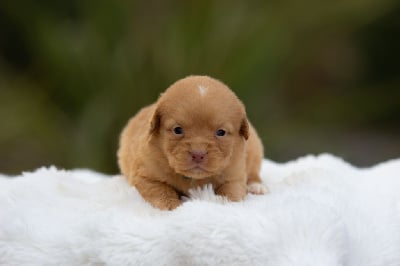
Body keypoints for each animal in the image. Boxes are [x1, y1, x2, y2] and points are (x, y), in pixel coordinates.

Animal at [119, 76, 268, 211]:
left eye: (221, 132)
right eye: (177, 130)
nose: (198, 154)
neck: (194, 179)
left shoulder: (234, 174)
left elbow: (231, 192)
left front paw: (222, 203)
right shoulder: (145, 176)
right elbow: (161, 192)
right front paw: (173, 208)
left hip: (255, 150)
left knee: (254, 173)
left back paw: (257, 187)